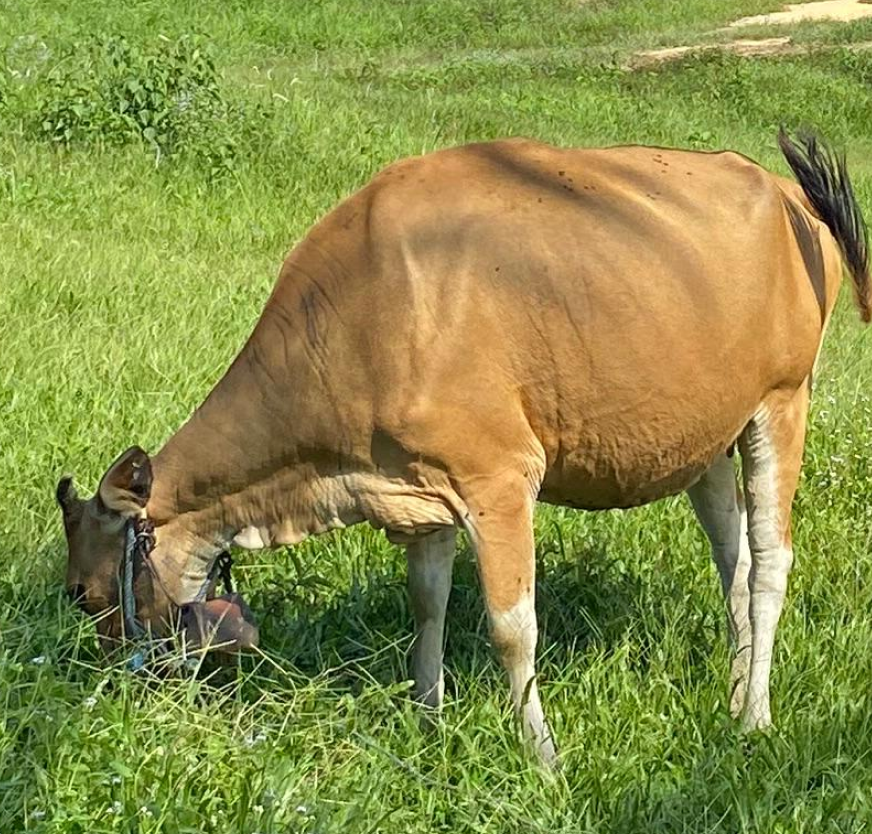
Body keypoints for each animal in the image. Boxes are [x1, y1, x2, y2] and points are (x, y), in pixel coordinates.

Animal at [58, 128, 868, 760]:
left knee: (769, 564)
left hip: (782, 402)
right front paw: (427, 721)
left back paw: (755, 717)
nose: (119, 693)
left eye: (83, 593)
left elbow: (513, 629)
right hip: (707, 441)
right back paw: (733, 694)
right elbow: (427, 603)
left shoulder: (498, 478)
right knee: (733, 565)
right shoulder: (417, 485)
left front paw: (542, 758)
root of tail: (781, 191)